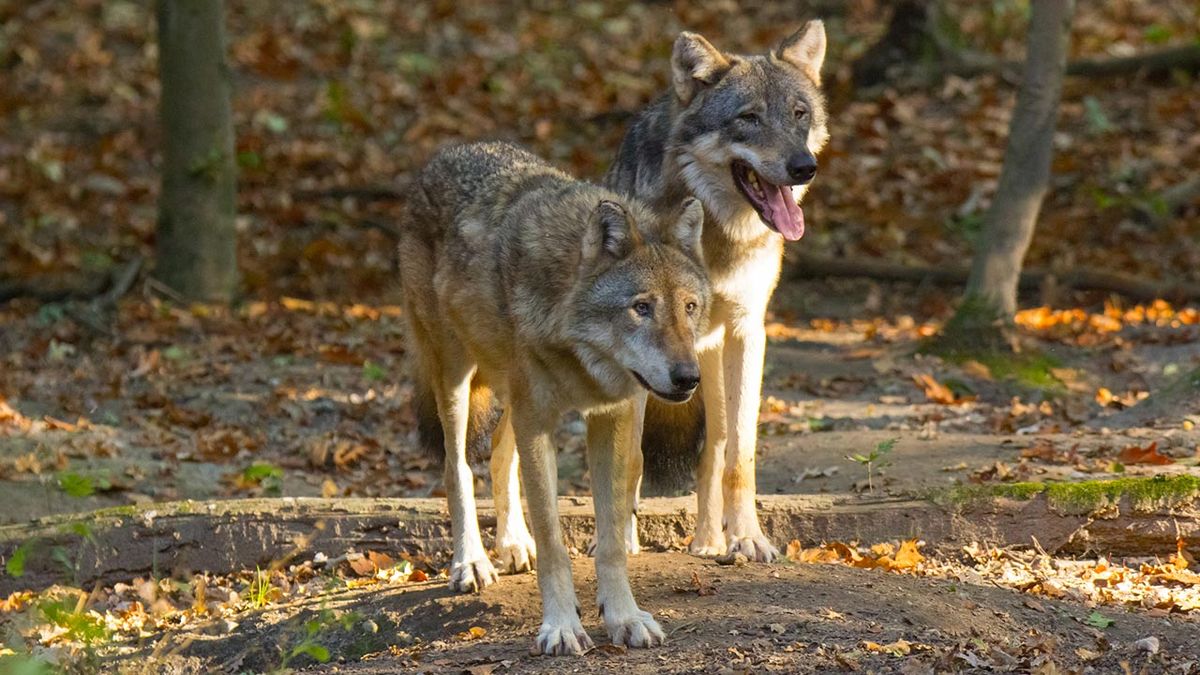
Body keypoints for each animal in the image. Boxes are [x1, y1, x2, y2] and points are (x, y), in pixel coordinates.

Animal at [397, 141, 710, 655]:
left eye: (689, 307)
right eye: (641, 307)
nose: (688, 378)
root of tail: (445, 153)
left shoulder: (610, 418)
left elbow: (610, 539)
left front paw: (624, 617)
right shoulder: (538, 420)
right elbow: (553, 541)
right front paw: (561, 626)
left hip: (510, 395)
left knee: (500, 456)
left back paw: (511, 545)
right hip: (456, 377)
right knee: (456, 466)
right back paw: (471, 562)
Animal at [605, 21, 829, 562]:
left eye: (799, 114)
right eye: (748, 118)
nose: (803, 166)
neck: (717, 235)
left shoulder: (749, 331)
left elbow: (739, 455)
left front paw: (749, 538)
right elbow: (632, 456)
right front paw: (621, 540)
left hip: (712, 354)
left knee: (717, 447)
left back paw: (709, 542)